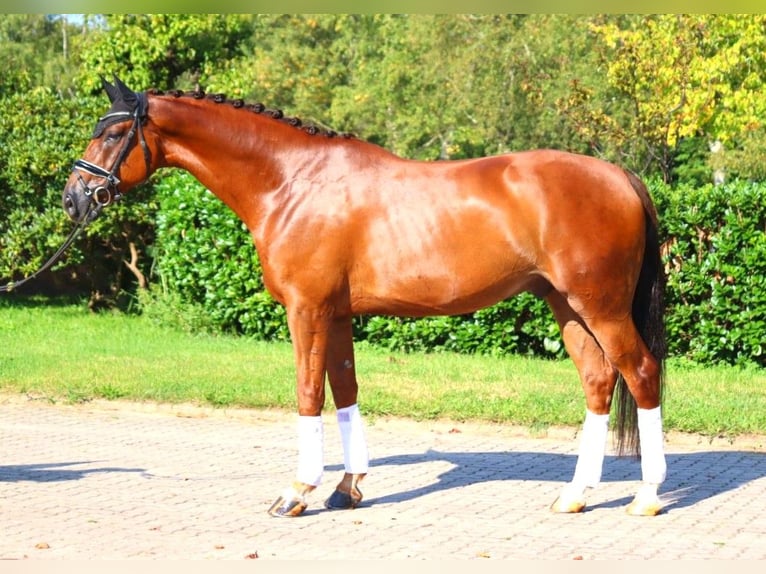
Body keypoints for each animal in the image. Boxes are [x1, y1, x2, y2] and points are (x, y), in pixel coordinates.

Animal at [63, 75, 668, 516]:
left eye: (113, 135)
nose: (74, 198)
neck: (291, 181)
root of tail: (620, 176)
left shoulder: (306, 310)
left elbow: (309, 393)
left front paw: (296, 492)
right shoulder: (336, 314)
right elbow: (346, 390)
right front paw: (346, 488)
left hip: (601, 306)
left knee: (640, 373)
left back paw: (646, 496)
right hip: (566, 306)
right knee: (598, 381)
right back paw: (575, 495)